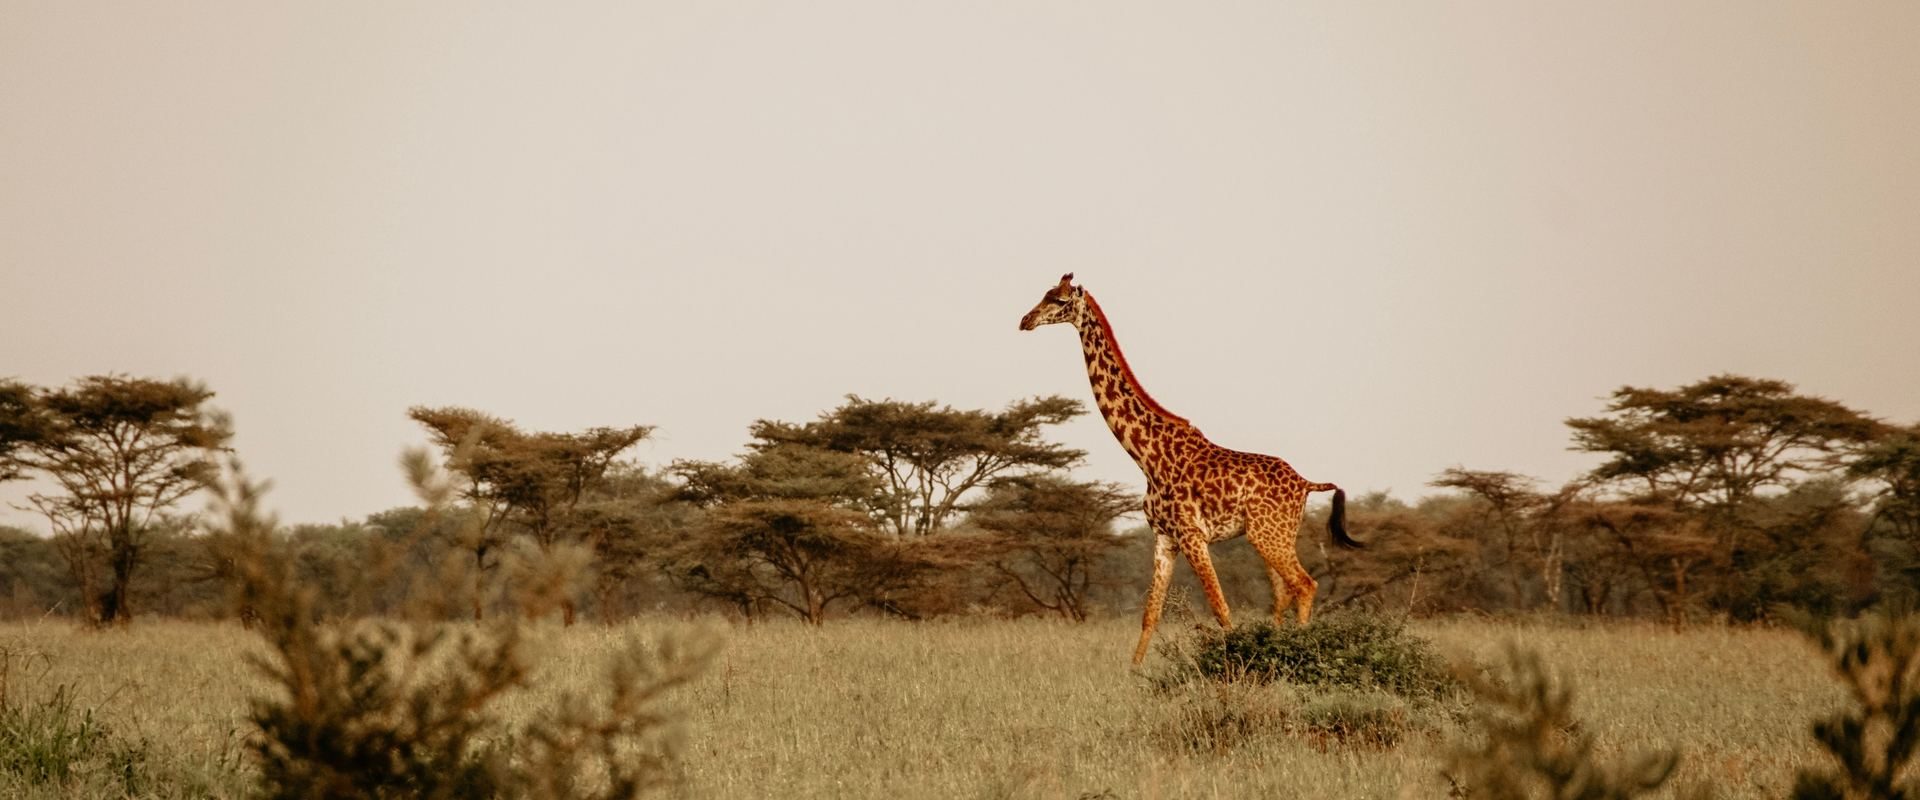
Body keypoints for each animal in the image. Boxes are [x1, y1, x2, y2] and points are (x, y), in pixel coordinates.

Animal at [1019, 273, 1363, 664]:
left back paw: (1302, 652)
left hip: (1268, 535)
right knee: (1283, 594)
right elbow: (1150, 613)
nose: (1025, 320)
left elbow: (1221, 609)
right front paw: (1133, 672)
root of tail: (1306, 483)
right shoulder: (1164, 538)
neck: (1146, 456)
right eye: (1045, 294)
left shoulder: (1192, 535)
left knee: (1304, 585)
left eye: (1059, 301)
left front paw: (1234, 664)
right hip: (1273, 535)